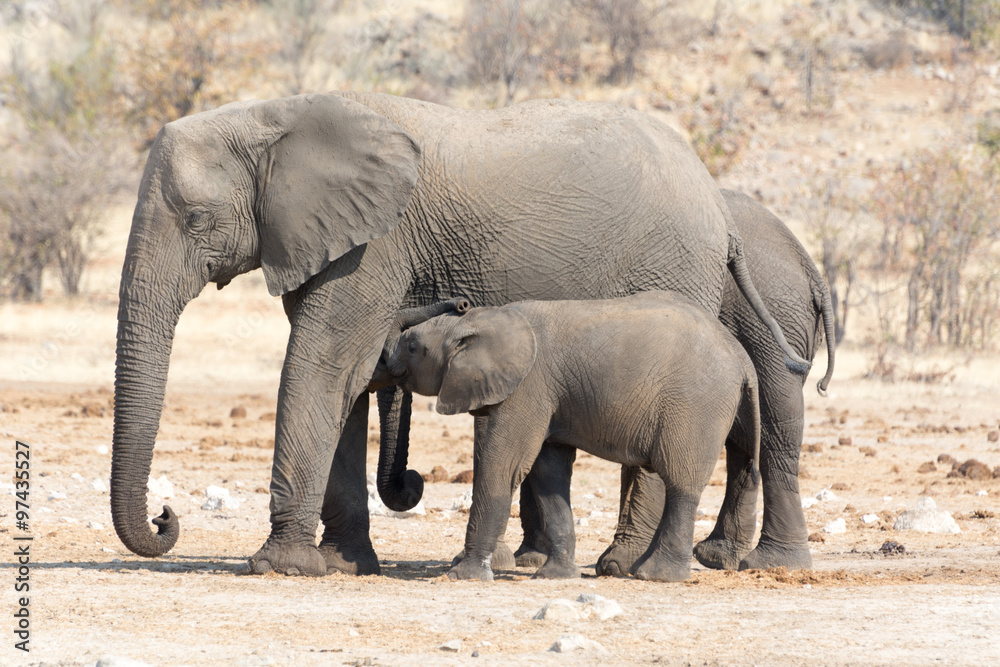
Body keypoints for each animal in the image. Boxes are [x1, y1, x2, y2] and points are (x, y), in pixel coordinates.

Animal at [386, 294, 760, 584]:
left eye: (413, 346)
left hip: (696, 406)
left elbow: (504, 466)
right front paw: (555, 576)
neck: (487, 318)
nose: (460, 302)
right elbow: (548, 473)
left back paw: (656, 576)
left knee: (681, 482)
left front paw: (462, 576)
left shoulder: (527, 387)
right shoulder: (546, 395)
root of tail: (742, 357)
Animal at [508, 189, 836, 576]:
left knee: (770, 427)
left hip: (769, 325)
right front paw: (528, 557)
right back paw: (724, 558)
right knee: (751, 433)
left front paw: (526, 558)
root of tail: (810, 270)